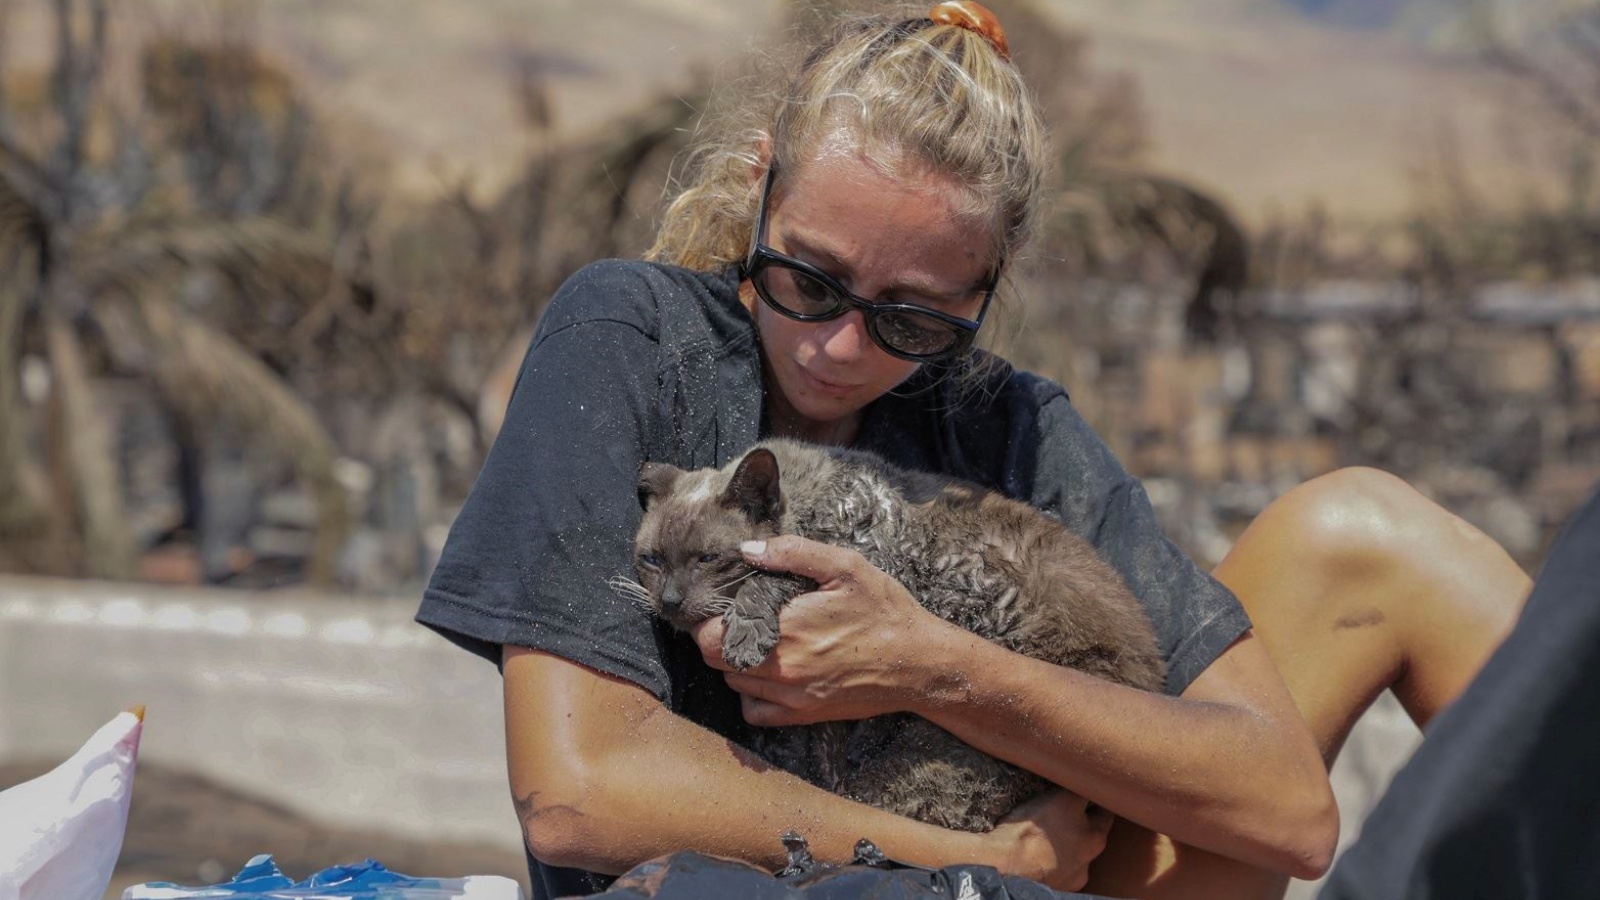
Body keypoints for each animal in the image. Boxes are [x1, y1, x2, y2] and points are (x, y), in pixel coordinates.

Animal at [617, 438, 1171, 832]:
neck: (811, 495)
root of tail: (1150, 673)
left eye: (709, 558)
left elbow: (769, 575)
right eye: (651, 559)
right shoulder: (815, 736)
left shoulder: (855, 557)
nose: (670, 601)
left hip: (931, 763)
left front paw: (746, 633)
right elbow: (808, 761)